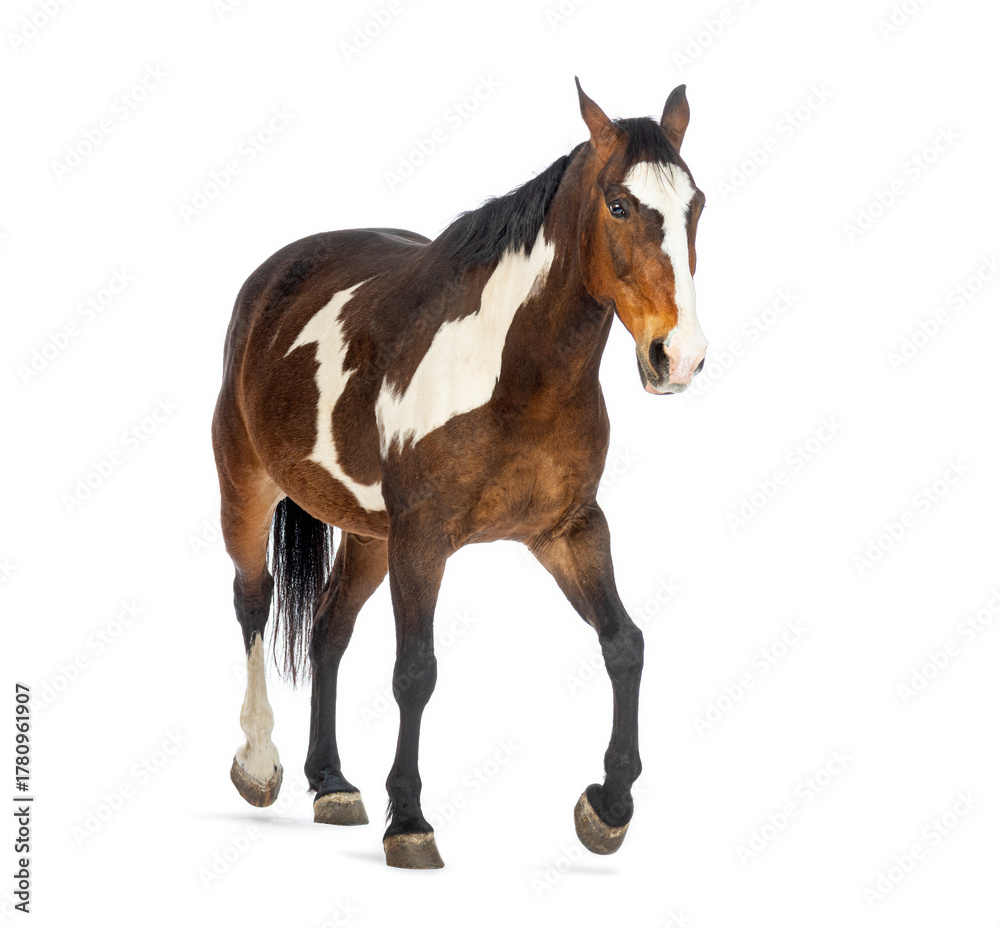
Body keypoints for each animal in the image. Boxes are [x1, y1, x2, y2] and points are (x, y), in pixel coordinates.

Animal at [211, 78, 708, 869]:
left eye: (697, 206)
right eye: (619, 205)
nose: (678, 356)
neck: (515, 375)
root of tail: (272, 277)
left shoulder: (570, 531)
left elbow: (624, 644)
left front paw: (608, 807)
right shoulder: (424, 540)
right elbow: (416, 671)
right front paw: (410, 822)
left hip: (370, 536)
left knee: (327, 629)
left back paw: (332, 783)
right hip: (247, 487)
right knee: (253, 603)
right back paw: (260, 766)